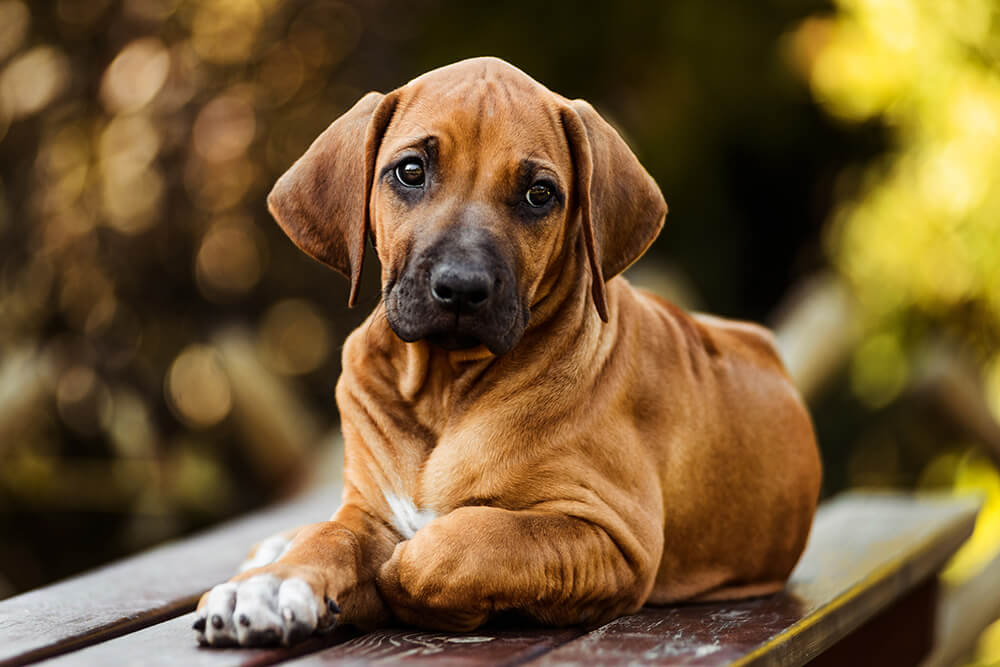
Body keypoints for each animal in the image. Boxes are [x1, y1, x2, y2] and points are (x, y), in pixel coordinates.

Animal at [193, 56, 820, 648]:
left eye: (539, 194)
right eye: (411, 171)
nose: (460, 287)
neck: (445, 388)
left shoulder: (611, 536)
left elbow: (476, 540)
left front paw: (404, 577)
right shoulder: (367, 507)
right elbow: (333, 533)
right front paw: (271, 584)